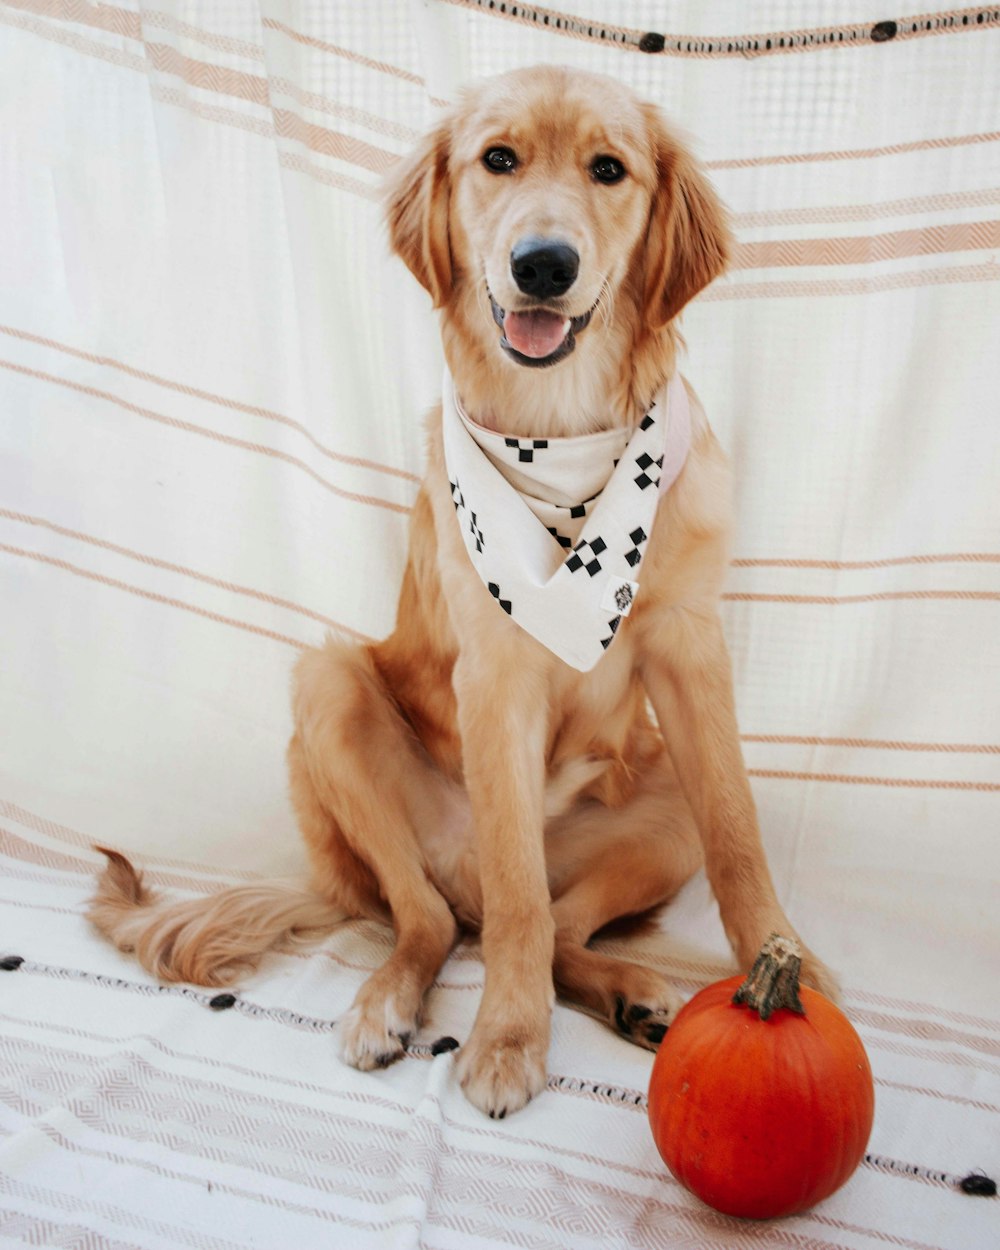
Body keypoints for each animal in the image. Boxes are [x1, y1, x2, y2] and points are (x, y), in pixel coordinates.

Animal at [91, 63, 835, 1120]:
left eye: (609, 169)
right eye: (499, 159)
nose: (544, 264)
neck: (559, 437)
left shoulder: (692, 648)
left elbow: (738, 837)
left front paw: (788, 968)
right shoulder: (494, 673)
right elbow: (520, 893)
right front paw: (510, 1038)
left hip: (658, 812)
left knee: (564, 922)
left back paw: (634, 994)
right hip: (330, 695)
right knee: (439, 920)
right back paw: (385, 1004)